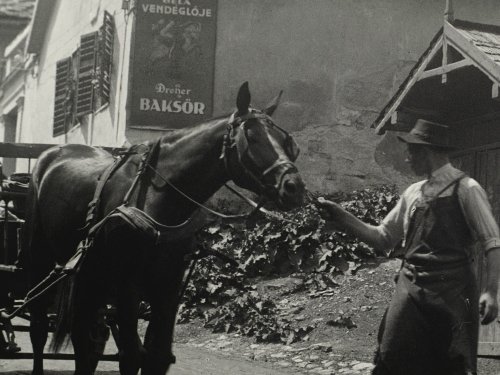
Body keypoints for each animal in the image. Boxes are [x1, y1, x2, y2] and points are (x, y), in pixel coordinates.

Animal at [23, 83, 306, 375]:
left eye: (286, 142)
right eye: (251, 136)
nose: (294, 187)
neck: (156, 198)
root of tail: (52, 154)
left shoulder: (168, 287)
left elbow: (157, 357)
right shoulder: (127, 286)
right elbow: (131, 355)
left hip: (89, 273)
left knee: (85, 338)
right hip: (40, 261)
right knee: (39, 329)